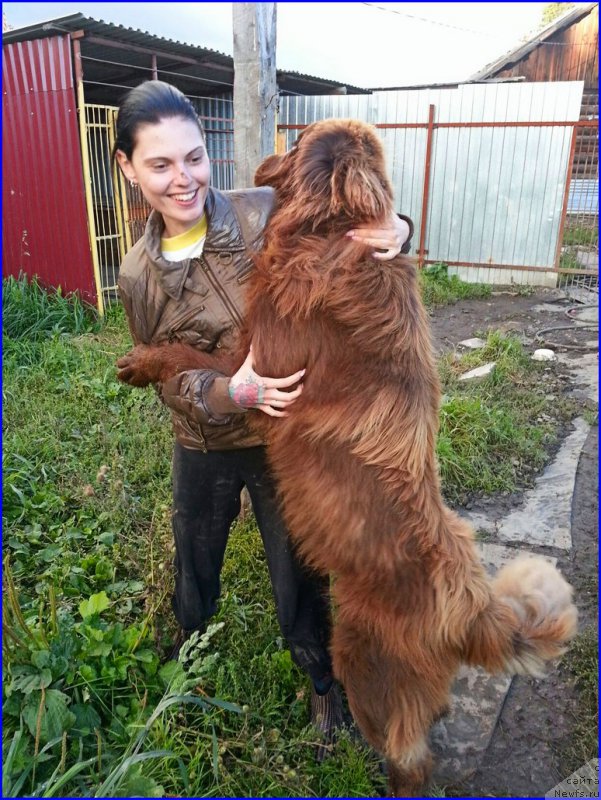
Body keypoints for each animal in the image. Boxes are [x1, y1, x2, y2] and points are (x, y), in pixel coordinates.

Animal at [117, 120, 576, 800]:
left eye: (304, 134)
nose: (267, 158)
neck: (329, 234)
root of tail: (470, 606)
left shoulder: (261, 370)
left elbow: (185, 353)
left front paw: (140, 359)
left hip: (362, 663)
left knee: (409, 760)